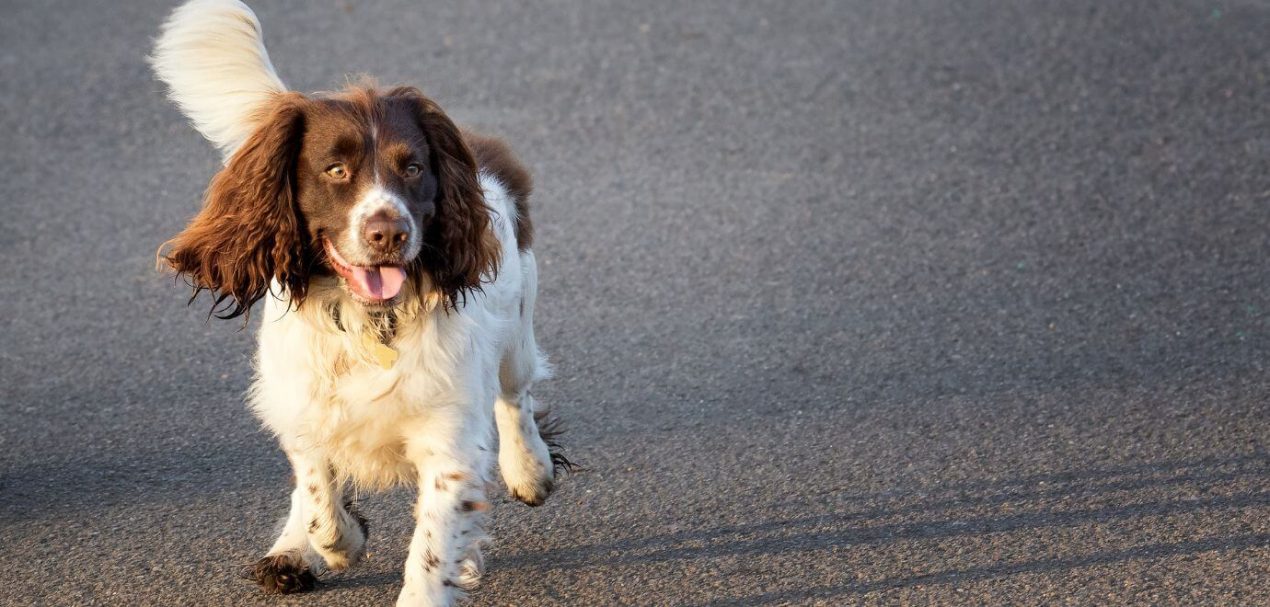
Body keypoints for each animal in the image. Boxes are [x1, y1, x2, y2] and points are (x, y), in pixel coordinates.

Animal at [147, 2, 571, 604]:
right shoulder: (302, 404)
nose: (388, 233)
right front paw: (332, 543)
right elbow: (317, 490)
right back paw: (290, 551)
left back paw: (529, 471)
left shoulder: (448, 439)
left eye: (413, 168)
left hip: (516, 324)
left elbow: (433, 544)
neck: (370, 321)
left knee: (516, 395)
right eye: (336, 169)